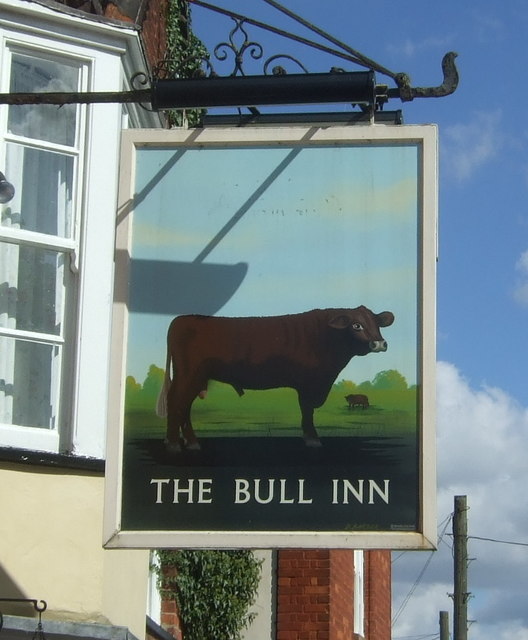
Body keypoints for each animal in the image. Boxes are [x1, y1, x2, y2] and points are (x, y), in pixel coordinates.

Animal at [155, 304, 394, 450]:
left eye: (377, 323)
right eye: (356, 325)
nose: (380, 343)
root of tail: (182, 319)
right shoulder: (308, 383)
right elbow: (307, 410)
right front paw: (312, 438)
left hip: (195, 378)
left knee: (184, 406)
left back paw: (191, 442)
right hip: (188, 375)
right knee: (176, 402)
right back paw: (174, 444)